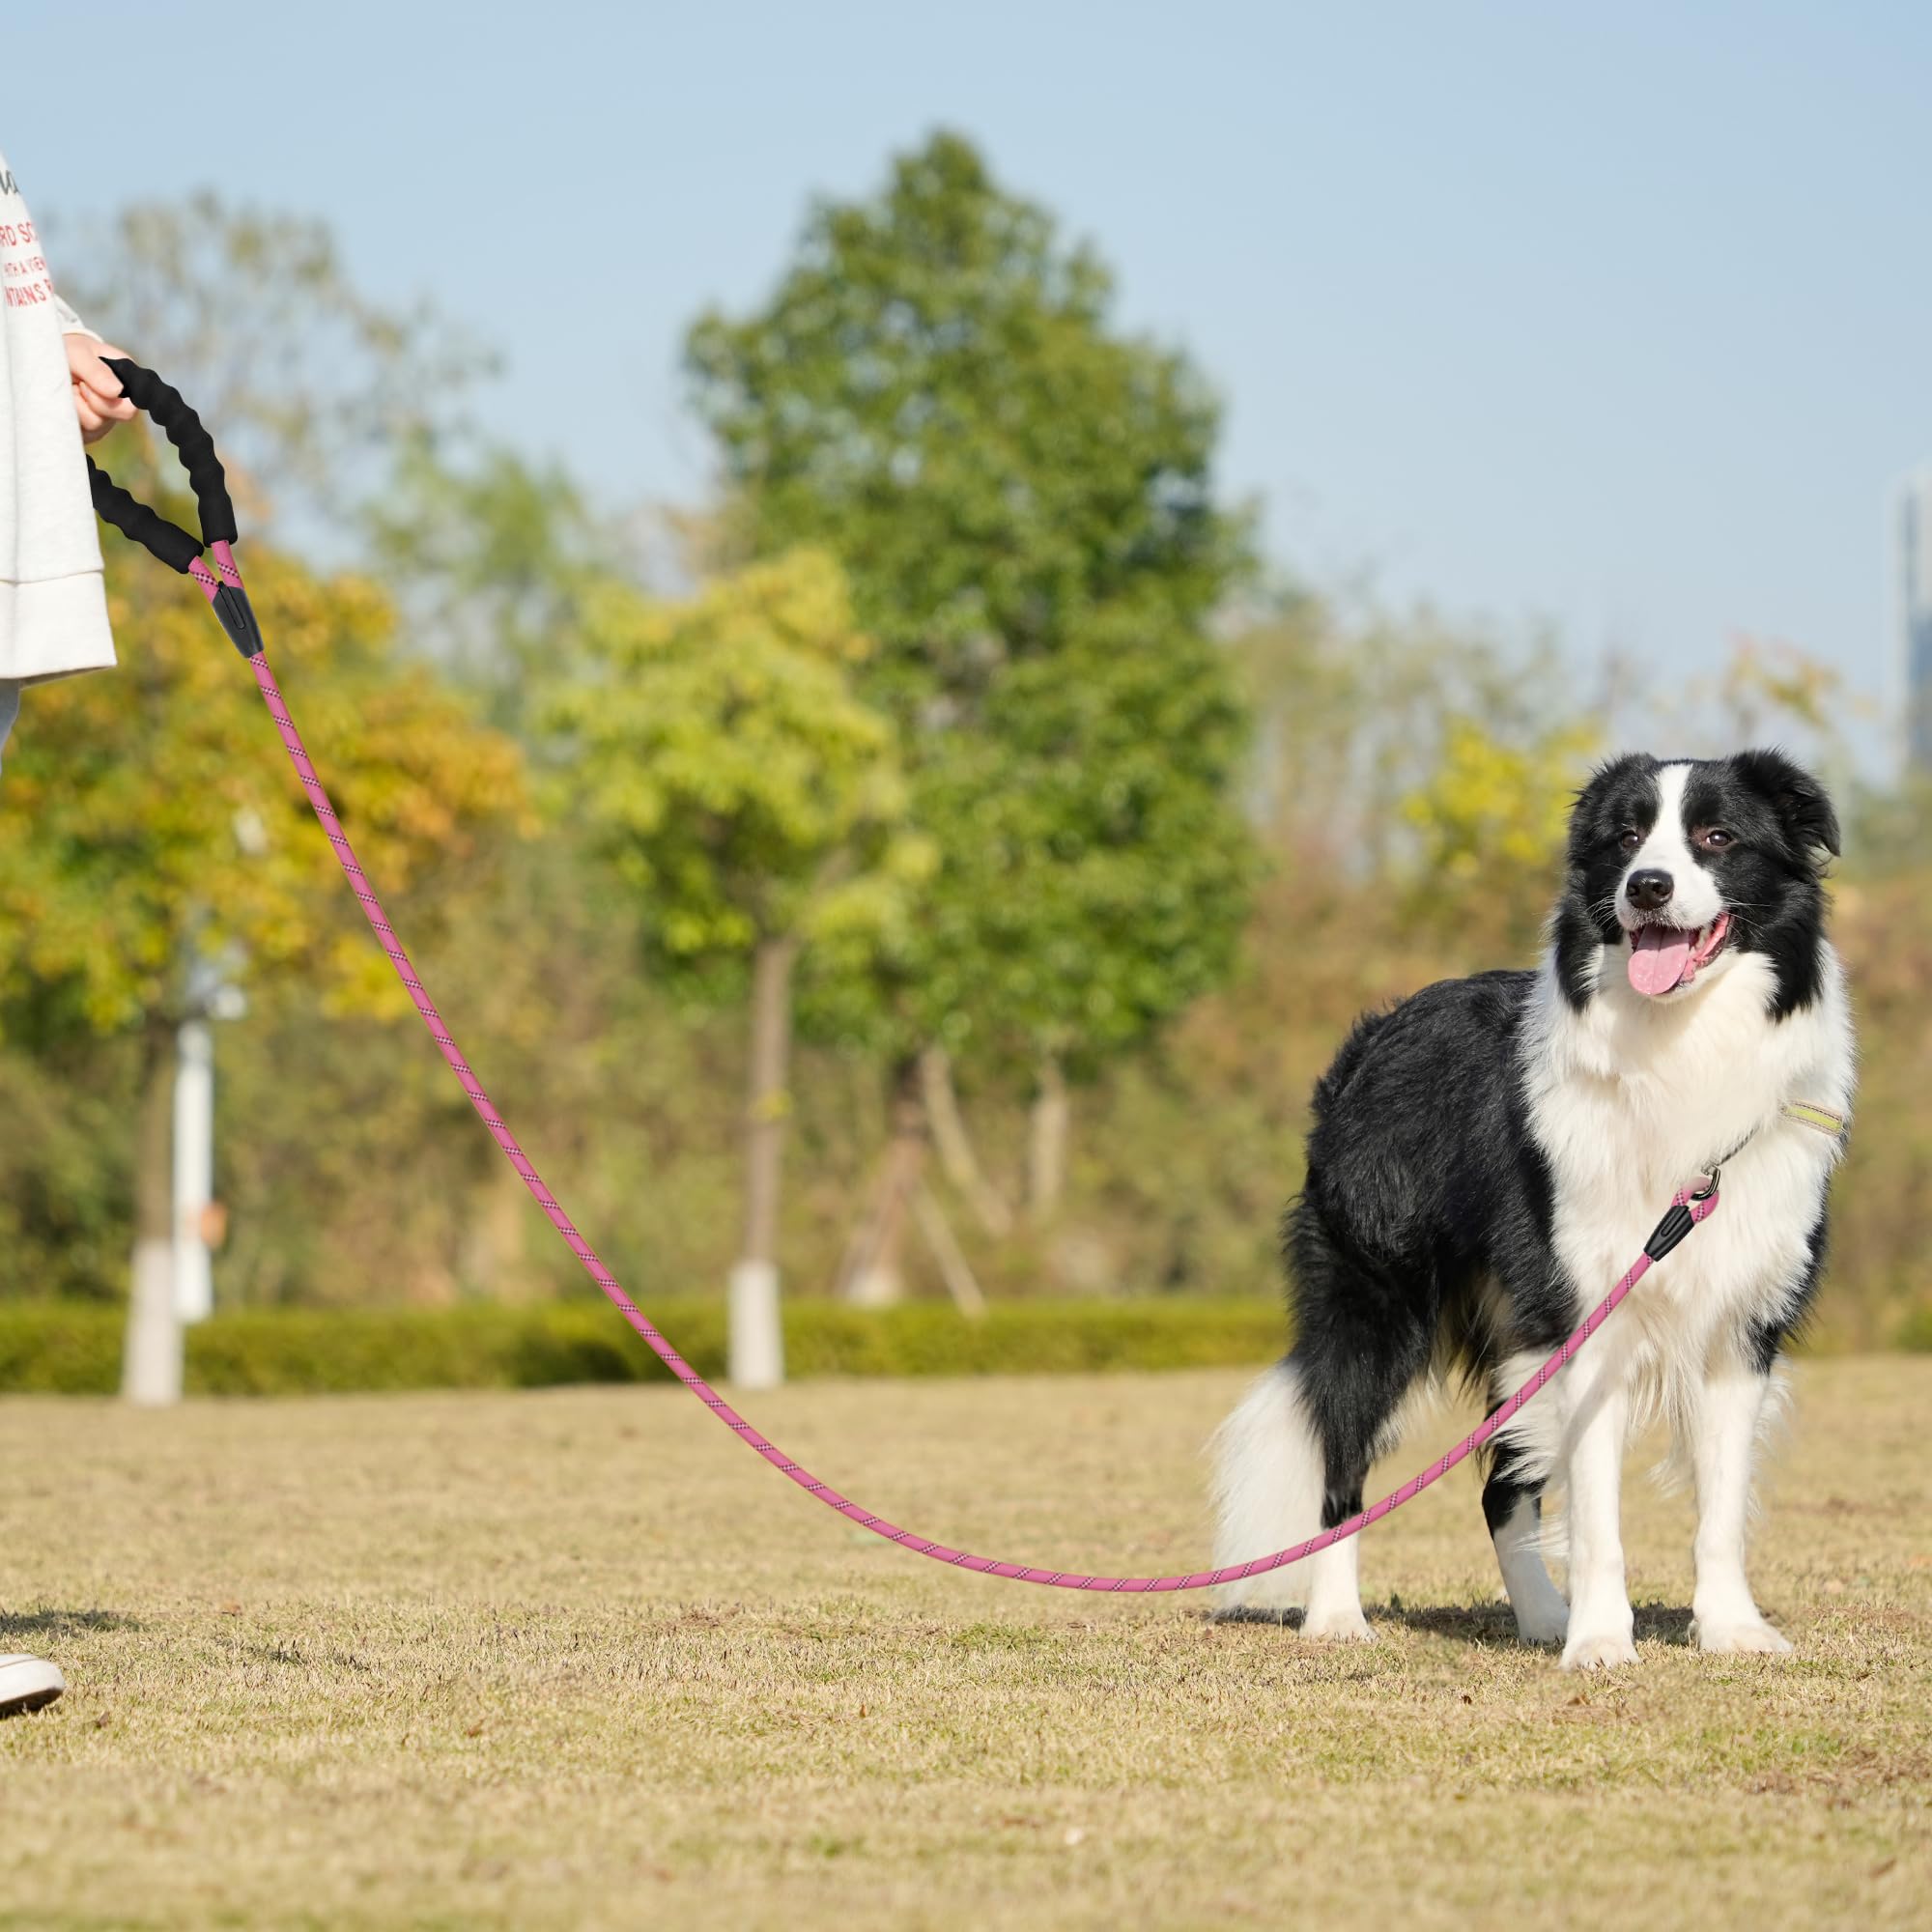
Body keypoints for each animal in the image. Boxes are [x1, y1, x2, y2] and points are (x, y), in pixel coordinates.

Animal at [1206, 746, 1855, 1669]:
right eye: (1625, 838)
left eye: (1718, 837)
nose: (1647, 887)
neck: (1680, 1041)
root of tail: (1376, 1033)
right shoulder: (1589, 1317)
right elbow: (1599, 1517)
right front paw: (1601, 1643)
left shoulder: (1740, 1325)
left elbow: (1720, 1510)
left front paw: (1730, 1629)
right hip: (1376, 1302)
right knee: (1340, 1466)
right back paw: (1337, 1618)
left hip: (1517, 1331)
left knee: (1500, 1492)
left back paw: (1542, 1616)